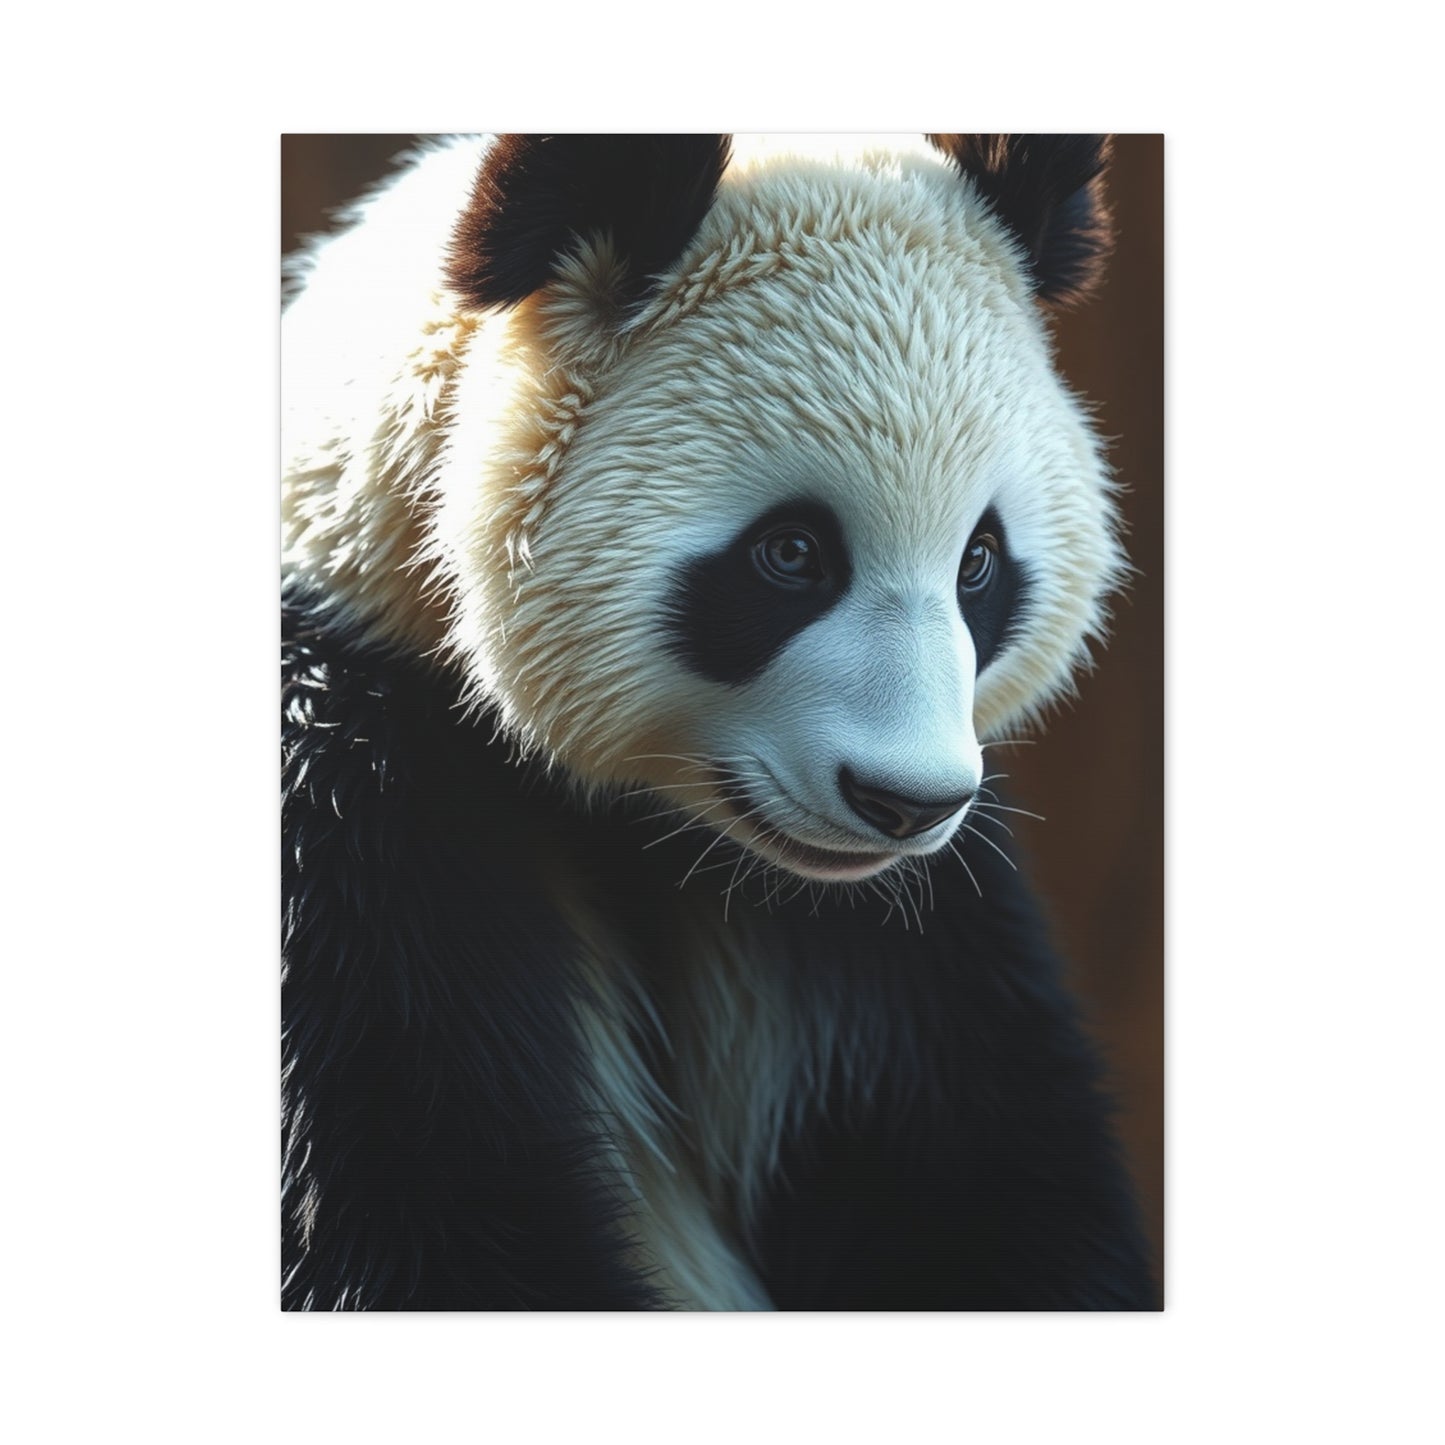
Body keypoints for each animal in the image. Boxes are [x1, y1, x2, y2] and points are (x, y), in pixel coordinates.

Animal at [282, 133, 1157, 1310]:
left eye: (979, 560)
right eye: (791, 554)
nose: (904, 803)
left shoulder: (892, 937)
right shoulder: (349, 805)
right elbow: (425, 1207)